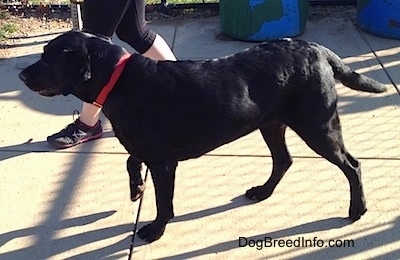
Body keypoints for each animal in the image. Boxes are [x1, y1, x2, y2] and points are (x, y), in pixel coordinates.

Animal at [18, 31, 384, 243]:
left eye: (48, 57)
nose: (21, 74)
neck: (118, 81)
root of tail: (318, 48)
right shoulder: (145, 148)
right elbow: (130, 160)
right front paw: (136, 188)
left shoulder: (163, 162)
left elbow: (163, 202)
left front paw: (155, 229)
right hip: (271, 123)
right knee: (284, 160)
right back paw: (262, 192)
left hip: (317, 126)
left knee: (352, 165)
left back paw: (358, 209)